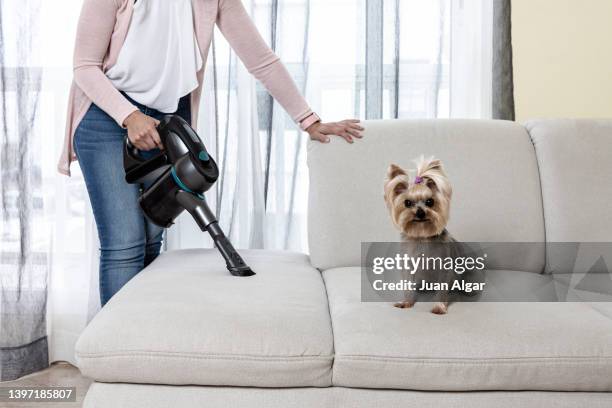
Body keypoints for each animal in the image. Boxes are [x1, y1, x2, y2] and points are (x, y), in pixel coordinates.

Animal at [382, 157, 468, 316]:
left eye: (430, 201)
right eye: (407, 202)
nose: (420, 212)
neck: (422, 235)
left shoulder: (444, 268)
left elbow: (442, 289)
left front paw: (439, 307)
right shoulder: (408, 264)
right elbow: (408, 285)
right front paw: (406, 303)